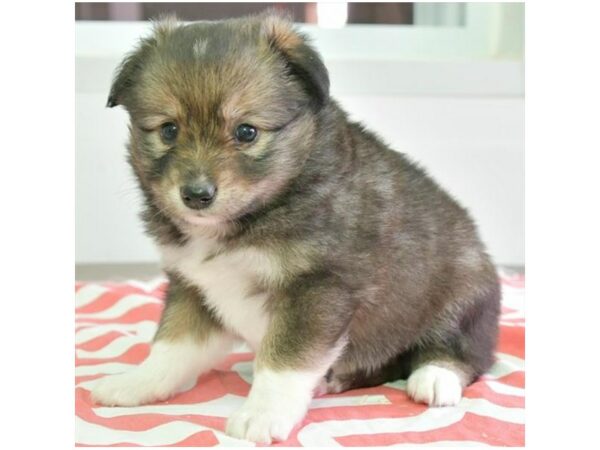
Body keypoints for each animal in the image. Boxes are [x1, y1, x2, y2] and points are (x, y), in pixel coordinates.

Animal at [89, 11, 502, 442]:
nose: (197, 195)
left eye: (246, 131)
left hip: (464, 292)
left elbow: (284, 361)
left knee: (465, 351)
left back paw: (435, 377)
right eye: (169, 130)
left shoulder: (318, 288)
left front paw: (261, 414)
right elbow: (172, 344)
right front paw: (138, 382)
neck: (257, 214)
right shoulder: (194, 287)